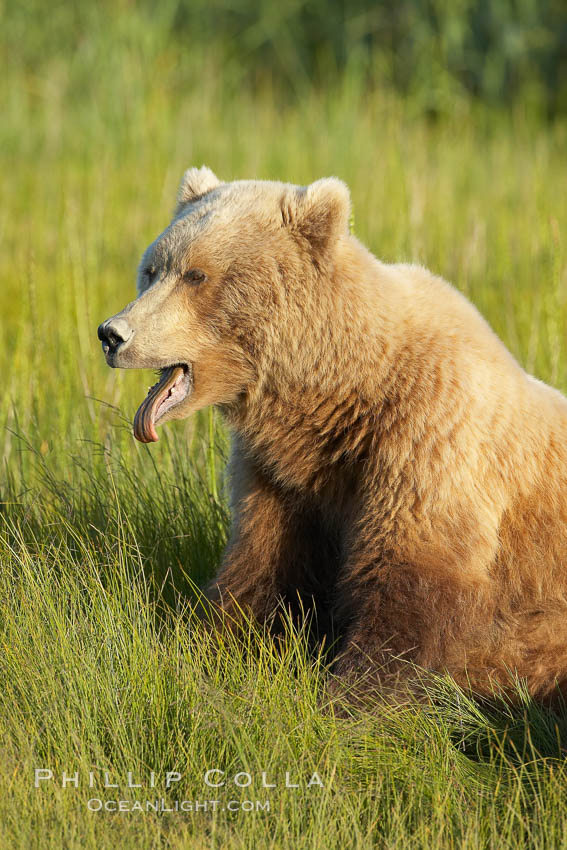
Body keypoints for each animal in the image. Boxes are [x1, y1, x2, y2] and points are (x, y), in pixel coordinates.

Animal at [98, 164, 567, 704]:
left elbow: (407, 579)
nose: (113, 334)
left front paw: (348, 695)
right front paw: (203, 645)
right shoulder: (283, 475)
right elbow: (260, 566)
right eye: (153, 268)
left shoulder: (428, 439)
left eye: (197, 275)